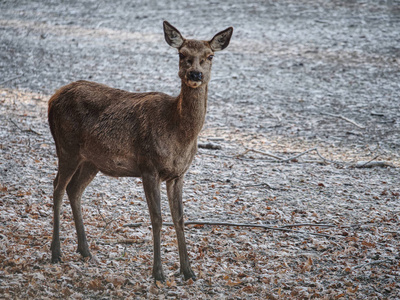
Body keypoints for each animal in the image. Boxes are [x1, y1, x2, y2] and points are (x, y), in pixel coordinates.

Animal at [47, 21, 233, 282]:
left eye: (210, 56)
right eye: (181, 54)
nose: (195, 74)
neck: (178, 133)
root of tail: (51, 99)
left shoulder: (178, 174)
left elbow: (179, 218)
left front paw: (188, 272)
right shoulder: (148, 166)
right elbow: (157, 218)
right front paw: (158, 273)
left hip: (91, 160)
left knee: (74, 189)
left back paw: (85, 251)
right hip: (67, 147)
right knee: (57, 187)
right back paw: (56, 253)